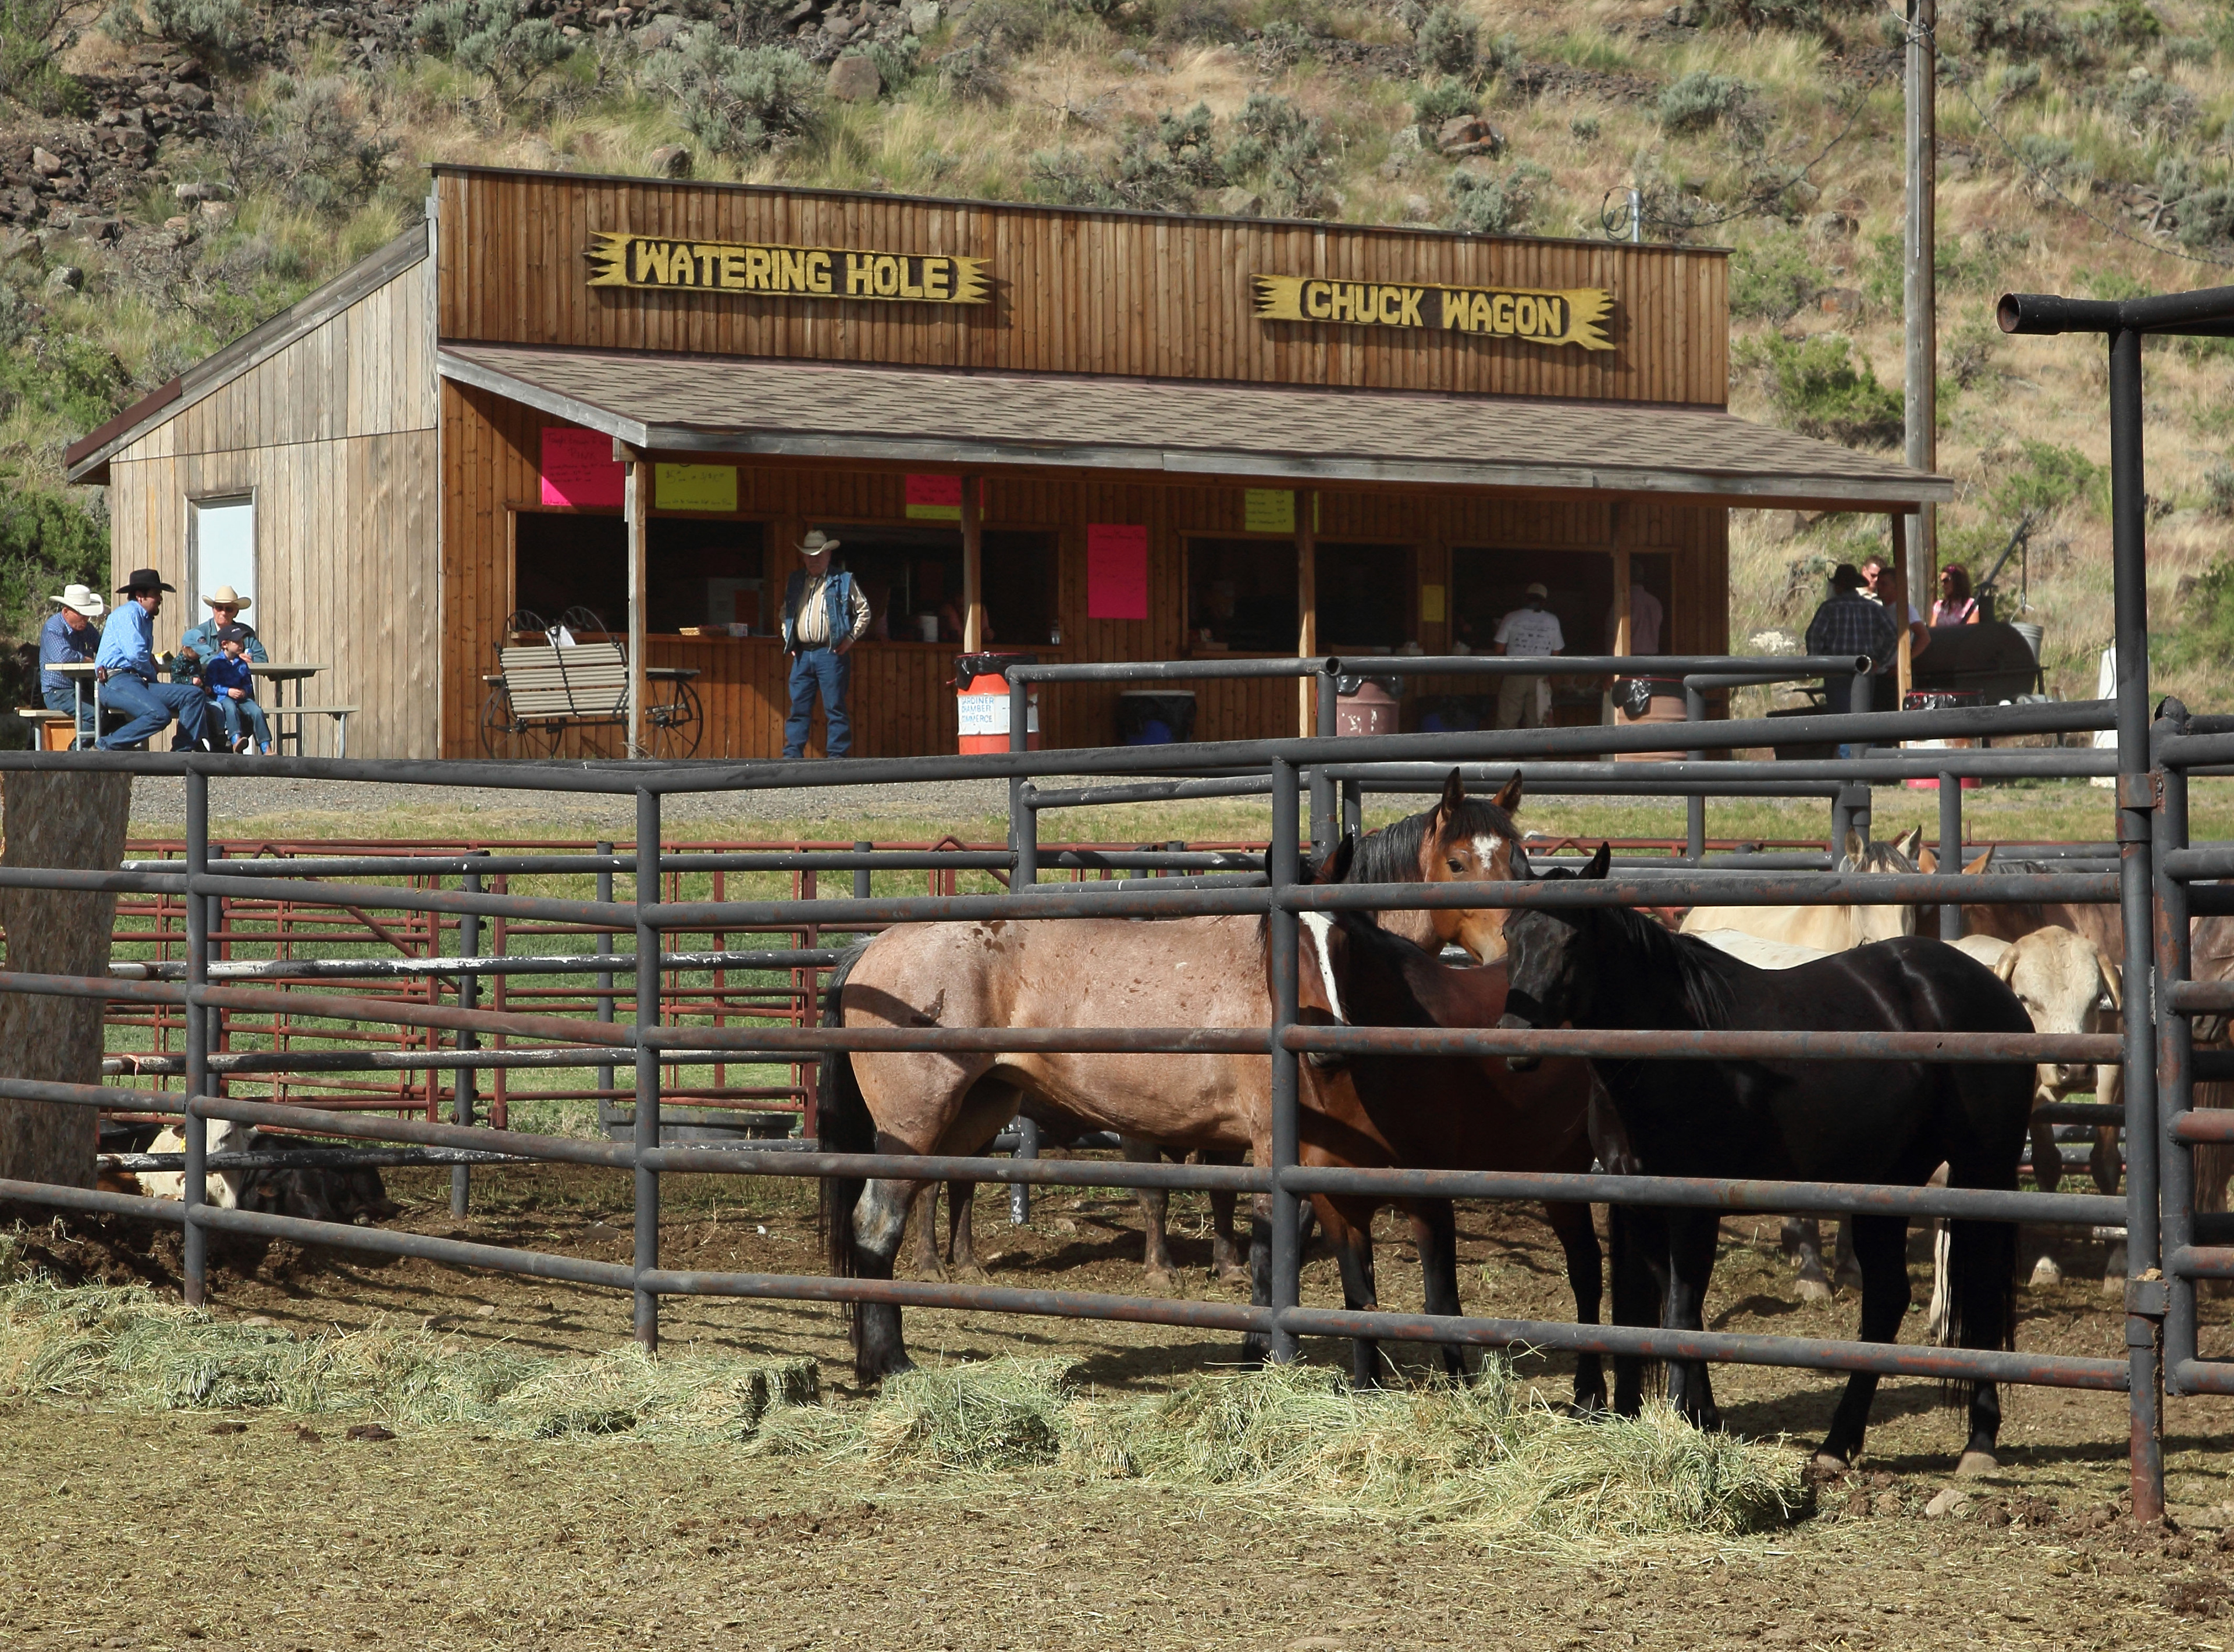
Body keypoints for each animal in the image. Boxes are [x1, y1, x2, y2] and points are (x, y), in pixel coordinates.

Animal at [822, 772, 1536, 1384]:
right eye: (1458, 863)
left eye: (1517, 857)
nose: (1511, 948)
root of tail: (872, 946)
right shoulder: (1277, 1145)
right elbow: (1272, 1245)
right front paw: (1265, 1353)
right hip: (916, 1121)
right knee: (877, 1224)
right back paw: (890, 1362)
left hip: (973, 1111)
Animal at [1492, 843, 2037, 1473]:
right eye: (1510, 933)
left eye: (1572, 939)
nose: (1515, 1042)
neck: (1669, 1046)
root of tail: (1993, 988)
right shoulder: (1641, 1204)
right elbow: (1672, 1312)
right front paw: (1694, 1419)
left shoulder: (1694, 1208)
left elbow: (1681, 1313)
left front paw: (1683, 1426)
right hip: (1886, 1182)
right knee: (1886, 1299)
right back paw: (1836, 1446)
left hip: (1984, 1170)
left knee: (1981, 1291)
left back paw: (1979, 1443)